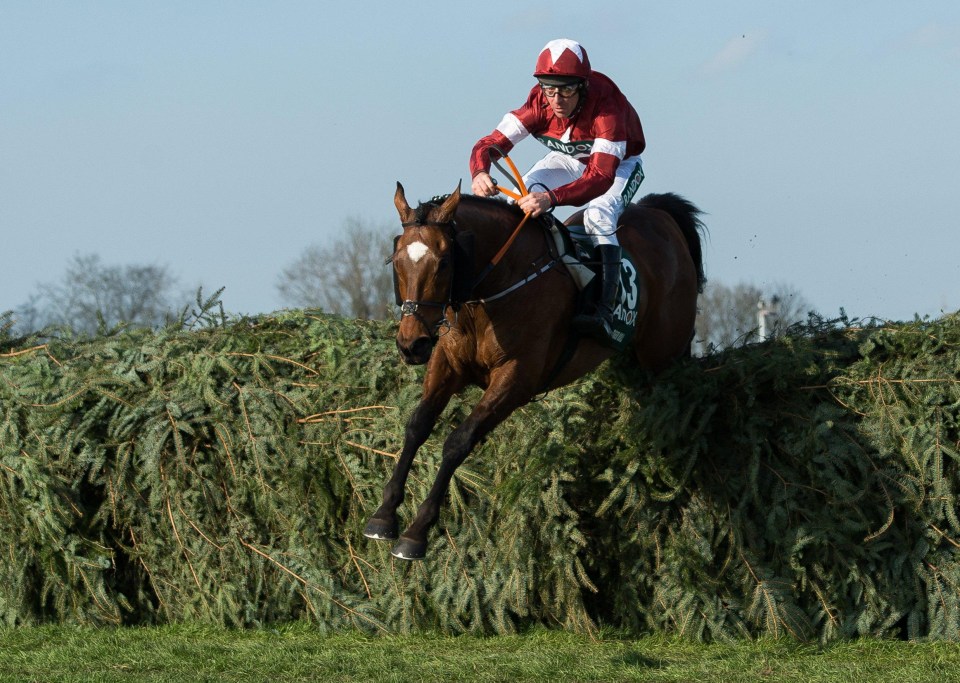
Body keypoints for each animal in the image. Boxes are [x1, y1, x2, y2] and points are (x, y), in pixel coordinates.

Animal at [364, 183, 708, 560]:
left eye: (443, 264)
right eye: (396, 261)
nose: (411, 345)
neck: (493, 288)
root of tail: (660, 215)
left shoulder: (517, 377)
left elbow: (458, 441)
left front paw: (417, 531)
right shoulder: (447, 363)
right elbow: (417, 426)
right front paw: (383, 515)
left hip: (664, 356)